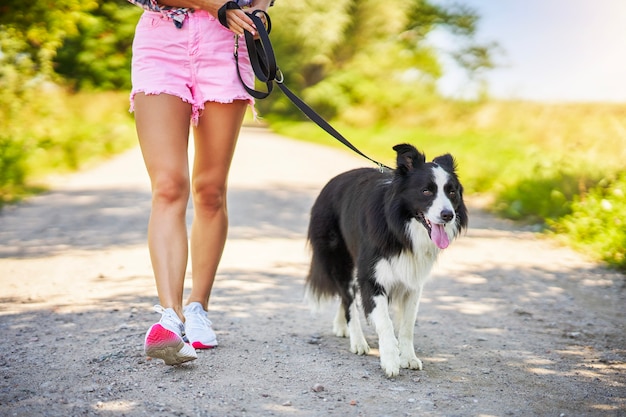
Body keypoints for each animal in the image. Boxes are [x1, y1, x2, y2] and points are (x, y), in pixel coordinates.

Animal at [304, 143, 466, 376]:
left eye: (451, 191)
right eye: (426, 191)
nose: (448, 215)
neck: (400, 228)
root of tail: (331, 183)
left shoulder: (413, 282)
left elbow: (407, 324)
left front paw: (408, 357)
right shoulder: (372, 278)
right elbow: (385, 322)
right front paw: (390, 360)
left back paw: (341, 326)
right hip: (341, 261)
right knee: (348, 299)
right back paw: (358, 341)